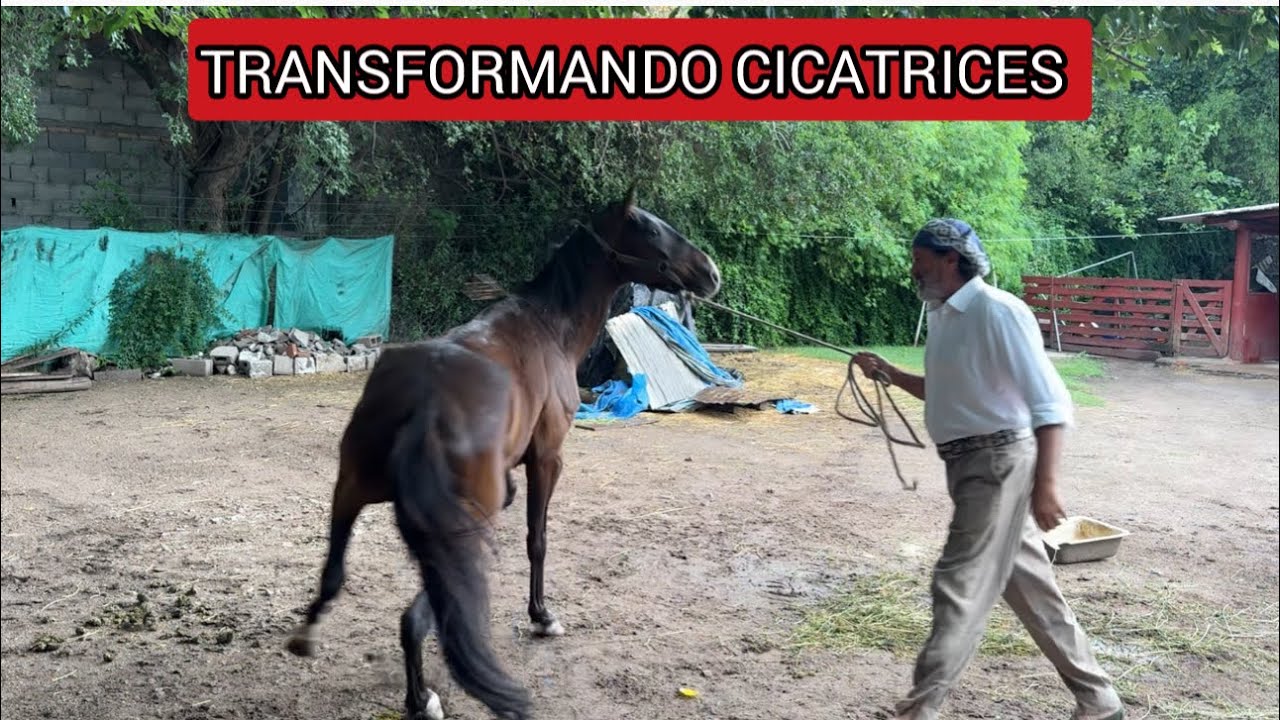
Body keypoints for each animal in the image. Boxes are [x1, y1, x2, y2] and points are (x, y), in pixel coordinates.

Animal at [286, 187, 722, 720]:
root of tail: (425, 402)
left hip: (350, 493)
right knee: (421, 611)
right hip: (465, 515)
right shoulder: (548, 460)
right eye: (653, 229)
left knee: (335, 576)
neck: (549, 326)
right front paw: (542, 616)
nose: (710, 273)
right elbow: (538, 539)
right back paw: (421, 697)